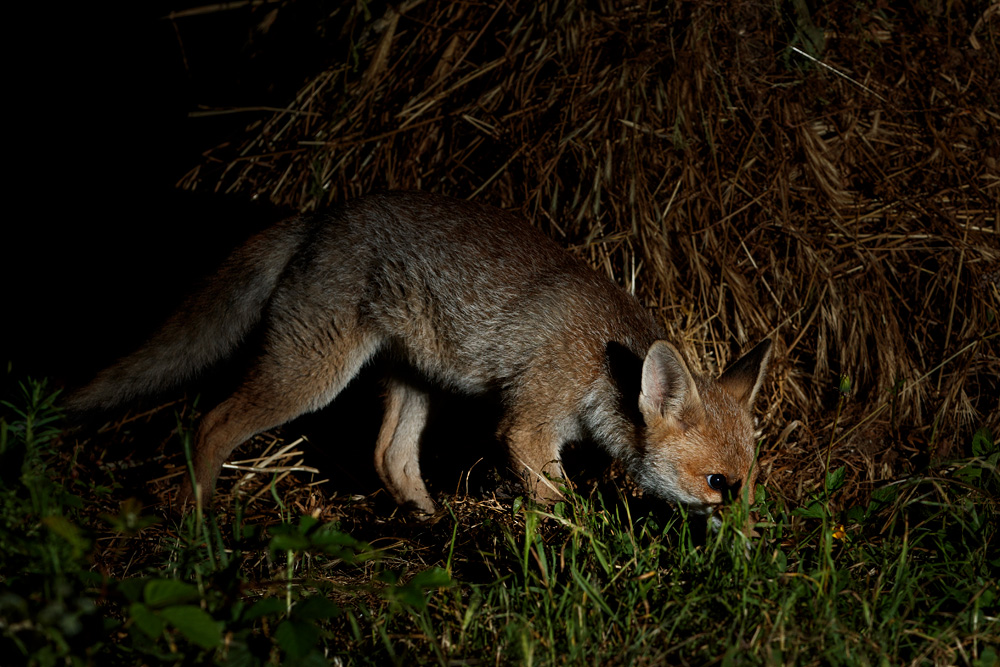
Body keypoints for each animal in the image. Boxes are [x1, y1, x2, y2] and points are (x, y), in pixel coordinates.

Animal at [68, 191, 772, 516]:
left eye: (751, 484)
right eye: (719, 484)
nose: (745, 548)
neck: (602, 363)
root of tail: (324, 214)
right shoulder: (528, 423)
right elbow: (559, 498)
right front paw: (584, 537)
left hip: (415, 381)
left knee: (389, 455)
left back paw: (429, 522)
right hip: (312, 373)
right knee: (211, 422)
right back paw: (201, 521)